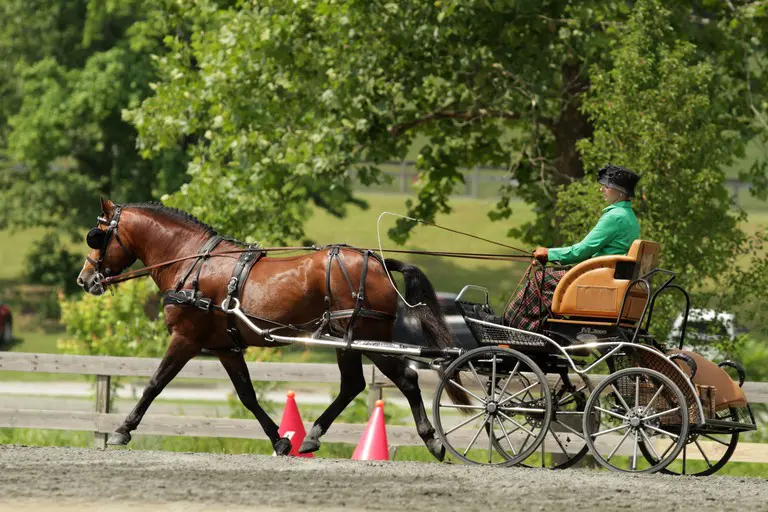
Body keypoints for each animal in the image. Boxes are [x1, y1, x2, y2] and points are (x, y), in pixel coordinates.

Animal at [76, 197, 468, 458]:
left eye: (98, 235)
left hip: (365, 337)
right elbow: (247, 395)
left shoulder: (186, 338)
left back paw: (431, 439)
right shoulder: (225, 347)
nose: (84, 278)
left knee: (405, 380)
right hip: (348, 340)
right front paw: (280, 439)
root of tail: (378, 262)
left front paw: (122, 430)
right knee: (354, 385)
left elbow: (154, 384)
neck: (191, 261)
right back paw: (311, 437)